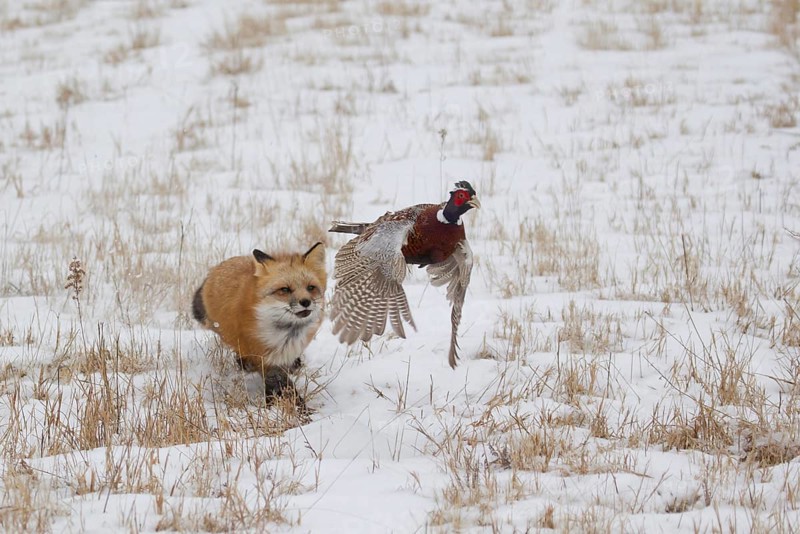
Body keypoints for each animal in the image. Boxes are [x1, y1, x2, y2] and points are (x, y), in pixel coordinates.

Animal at [192, 243, 326, 408]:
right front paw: (287, 408)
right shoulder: (262, 355)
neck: (285, 334)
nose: (305, 302)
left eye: (311, 288)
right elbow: (281, 383)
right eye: (285, 289)